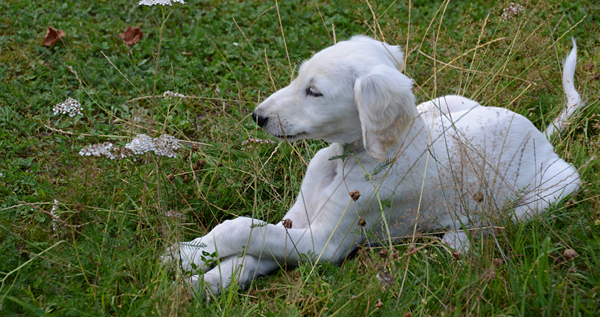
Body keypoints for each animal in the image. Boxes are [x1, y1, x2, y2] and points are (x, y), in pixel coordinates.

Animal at [168, 35, 580, 296]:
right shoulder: (297, 221)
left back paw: (459, 236)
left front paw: (189, 259)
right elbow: (250, 251)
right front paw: (193, 268)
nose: (258, 117)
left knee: (508, 219)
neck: (348, 160)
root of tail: (540, 136)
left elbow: (241, 228)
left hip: (558, 187)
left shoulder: (326, 244)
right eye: (298, 78)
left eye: (314, 92)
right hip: (448, 103)